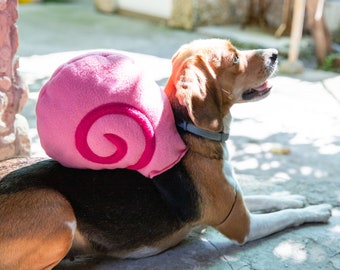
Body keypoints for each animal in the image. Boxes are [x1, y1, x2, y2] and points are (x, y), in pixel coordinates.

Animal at [0, 39, 330, 268]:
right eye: (236, 58)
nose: (275, 53)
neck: (193, 132)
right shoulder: (242, 225)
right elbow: (287, 216)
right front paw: (318, 210)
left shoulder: (235, 196)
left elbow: (270, 198)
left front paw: (295, 197)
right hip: (59, 210)